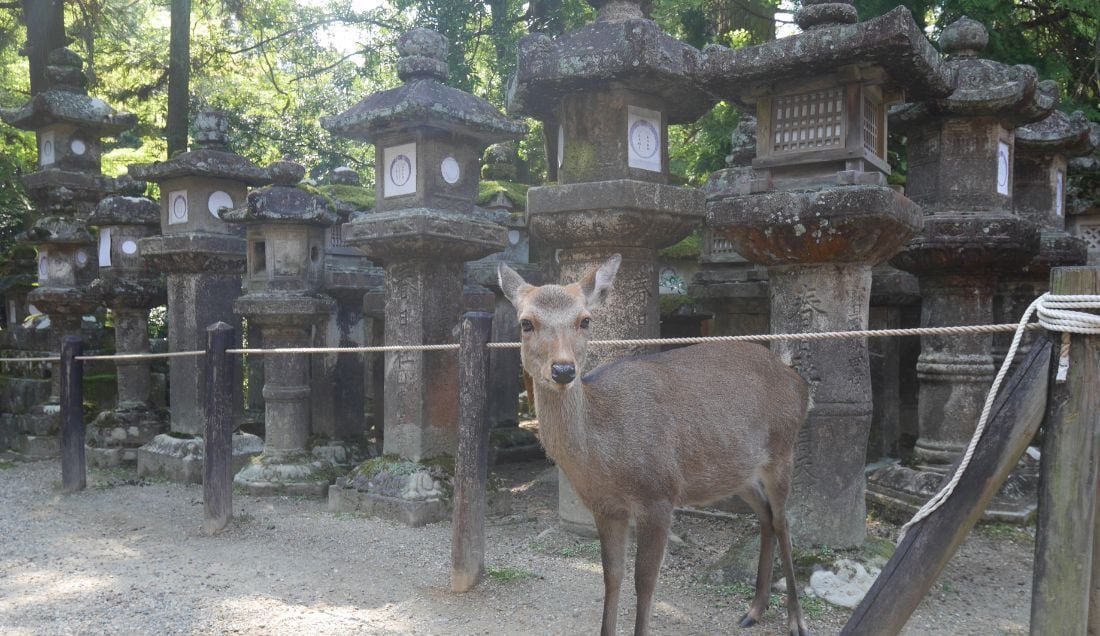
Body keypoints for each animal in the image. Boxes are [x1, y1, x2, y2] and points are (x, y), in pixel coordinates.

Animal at [499, 254, 810, 636]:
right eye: (525, 323)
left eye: (585, 320)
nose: (563, 370)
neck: (603, 459)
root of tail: (800, 384)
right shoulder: (604, 506)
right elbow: (612, 576)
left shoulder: (659, 495)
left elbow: (645, 581)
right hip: (737, 473)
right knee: (765, 516)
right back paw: (754, 610)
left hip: (783, 450)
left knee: (784, 521)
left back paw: (796, 619)